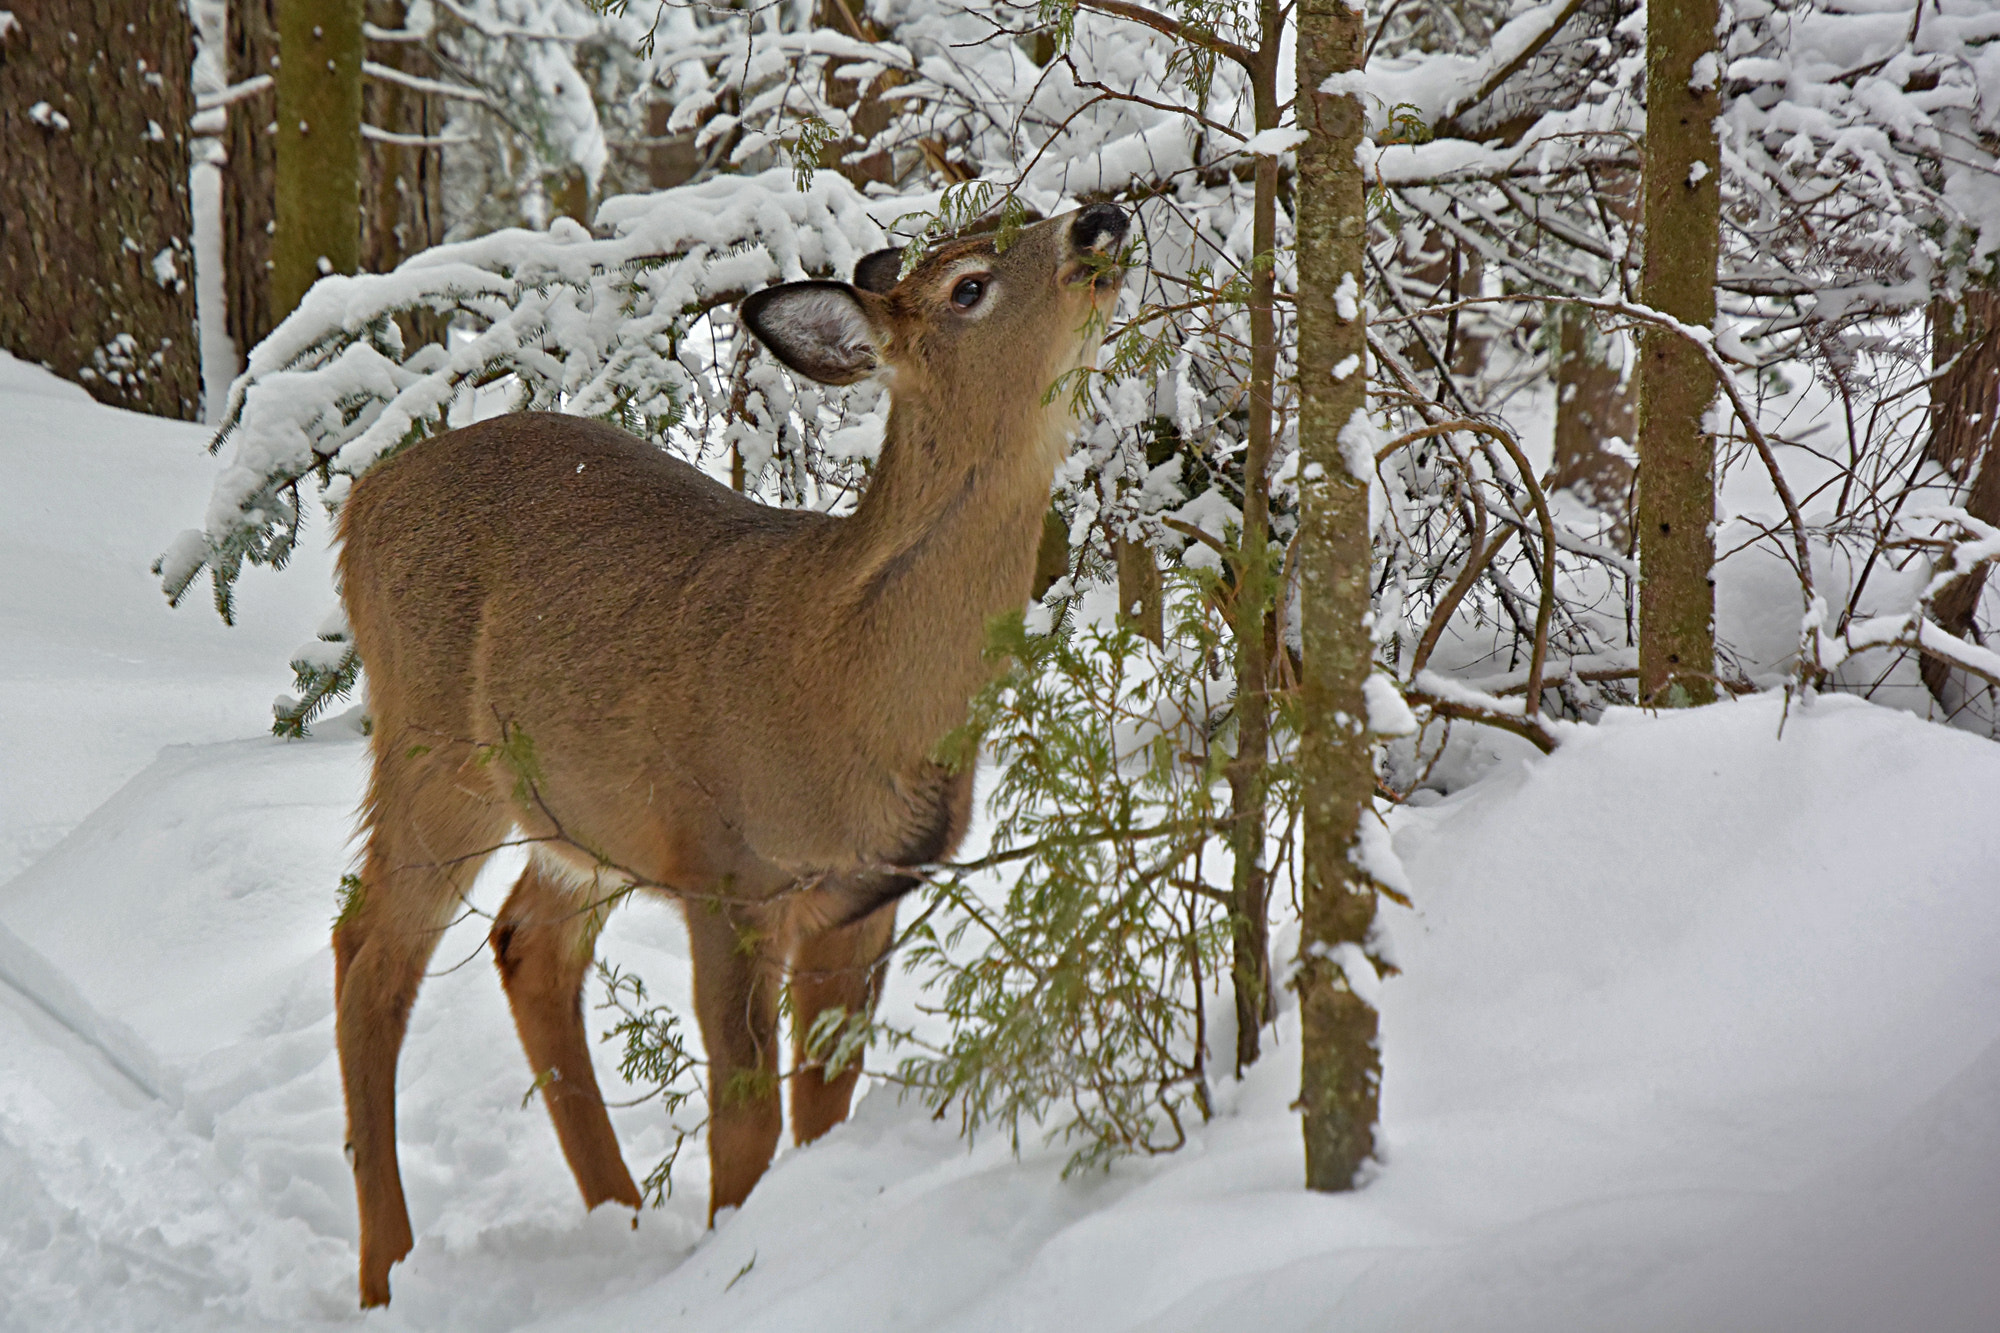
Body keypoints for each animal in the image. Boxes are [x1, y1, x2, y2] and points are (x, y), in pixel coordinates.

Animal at [336, 202, 1136, 1304]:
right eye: (967, 284)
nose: (1101, 219)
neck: (850, 686)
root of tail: (356, 504)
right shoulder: (729, 870)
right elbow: (747, 1117)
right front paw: (733, 1253)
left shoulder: (865, 896)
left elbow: (823, 1107)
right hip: (433, 749)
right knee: (367, 957)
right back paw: (387, 1270)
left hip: (579, 816)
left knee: (524, 942)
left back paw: (621, 1216)